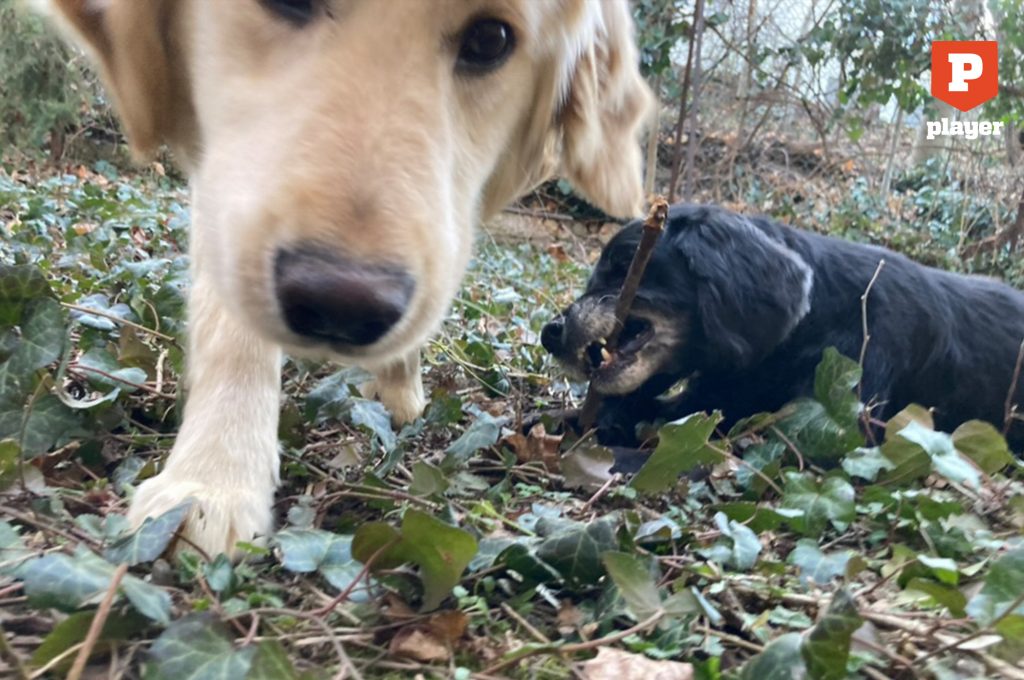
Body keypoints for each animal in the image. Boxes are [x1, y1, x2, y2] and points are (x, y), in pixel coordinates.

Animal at [47, 0, 653, 556]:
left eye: (490, 39)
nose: (341, 306)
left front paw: (400, 389)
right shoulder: (227, 185)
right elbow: (232, 331)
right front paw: (213, 480)